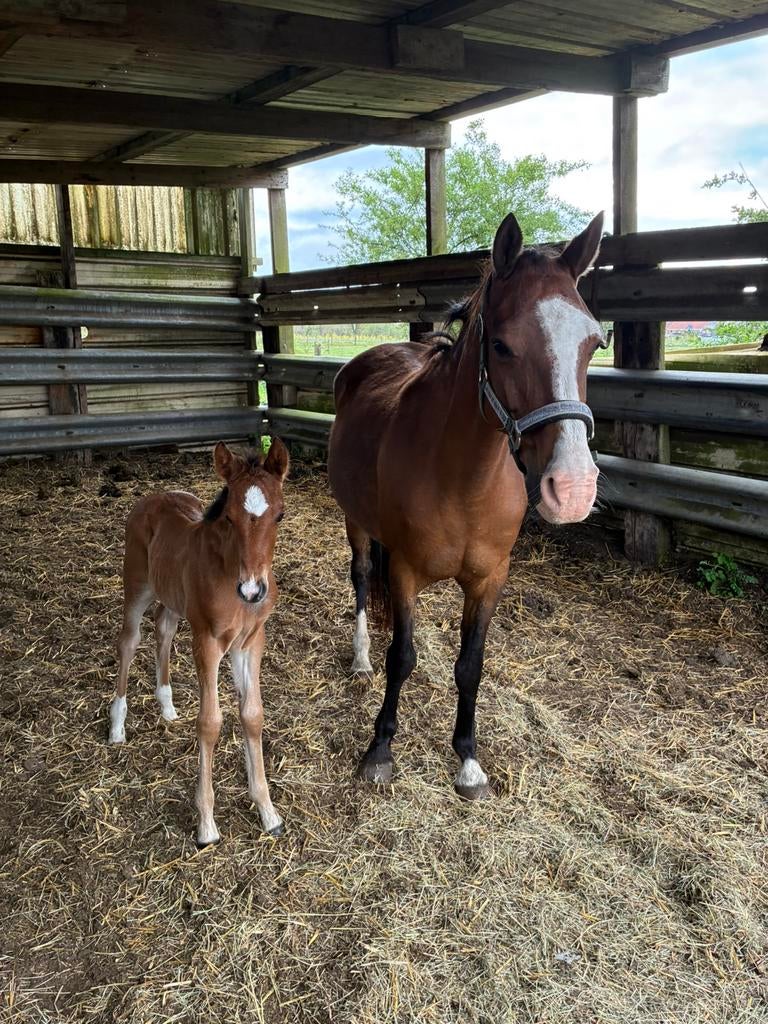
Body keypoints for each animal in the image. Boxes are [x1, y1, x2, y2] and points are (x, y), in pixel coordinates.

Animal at [108, 438, 289, 846]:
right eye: (229, 518)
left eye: (280, 516)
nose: (253, 590)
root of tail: (154, 496)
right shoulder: (206, 640)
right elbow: (210, 722)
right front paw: (206, 823)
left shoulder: (251, 642)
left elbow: (252, 714)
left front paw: (268, 811)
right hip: (137, 585)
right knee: (129, 641)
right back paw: (117, 726)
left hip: (174, 599)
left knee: (163, 629)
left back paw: (167, 705)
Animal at [328, 210, 605, 799]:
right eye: (501, 345)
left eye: (594, 343)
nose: (573, 489)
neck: (464, 481)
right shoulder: (406, 571)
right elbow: (402, 657)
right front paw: (380, 749)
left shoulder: (490, 578)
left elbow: (470, 664)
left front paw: (468, 759)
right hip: (355, 519)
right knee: (361, 576)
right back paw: (361, 655)